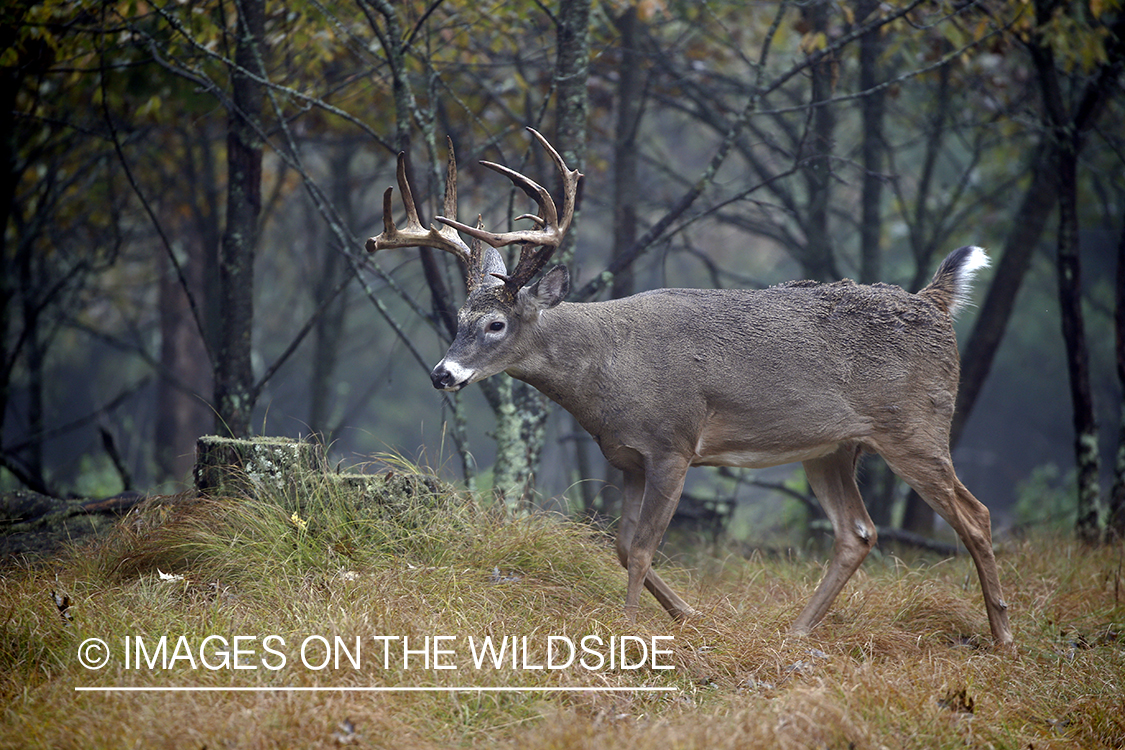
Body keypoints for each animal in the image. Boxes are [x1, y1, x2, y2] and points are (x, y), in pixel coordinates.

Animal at [366, 127, 1012, 647]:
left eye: (496, 324)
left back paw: (1003, 634)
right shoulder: (627, 457)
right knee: (858, 532)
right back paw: (797, 632)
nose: (442, 374)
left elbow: (643, 546)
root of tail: (934, 303)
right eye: (458, 318)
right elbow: (623, 545)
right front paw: (690, 616)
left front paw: (629, 629)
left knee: (975, 515)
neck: (607, 369)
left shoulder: (673, 444)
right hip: (832, 448)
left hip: (916, 425)